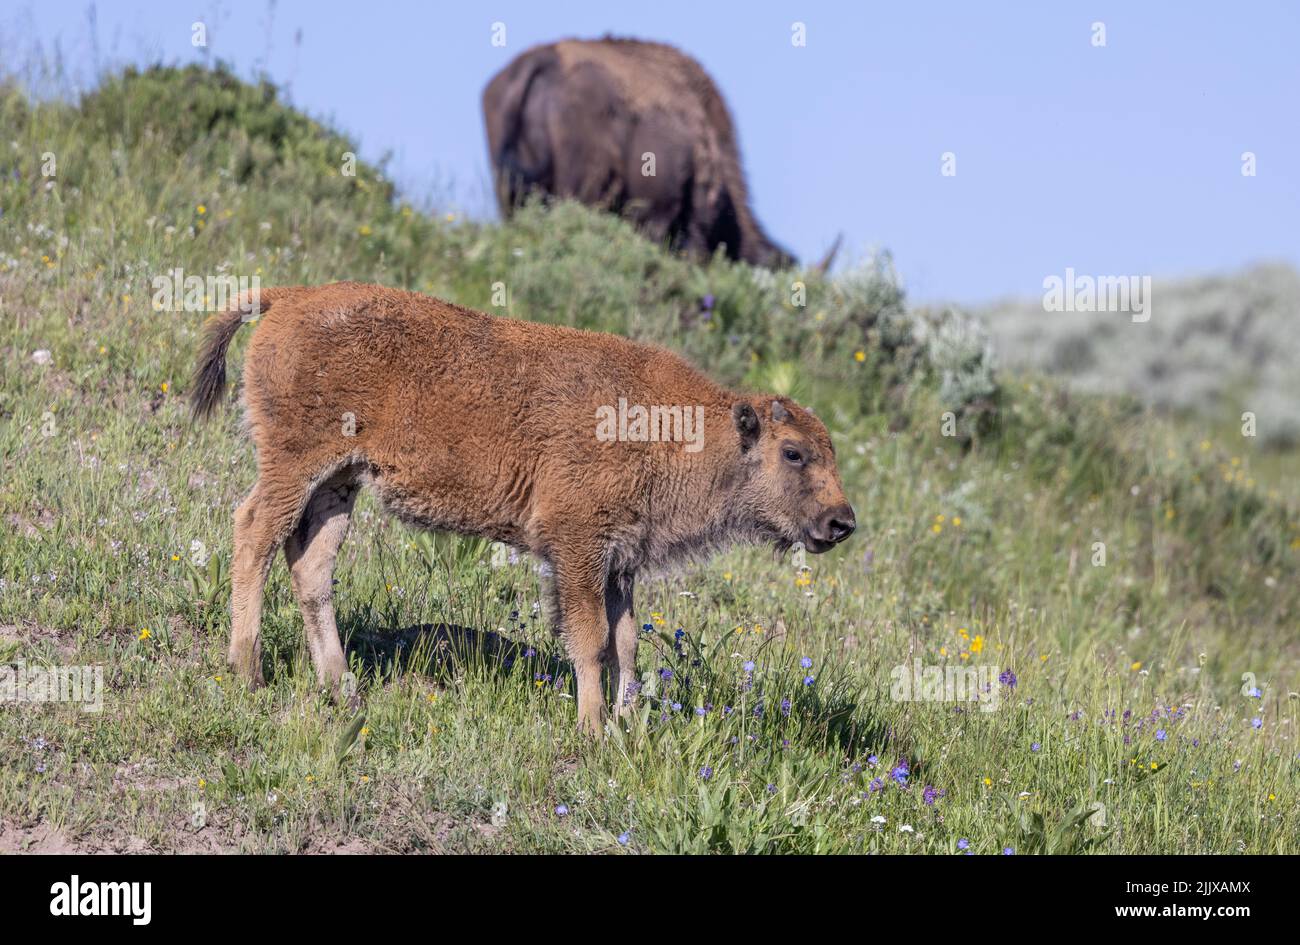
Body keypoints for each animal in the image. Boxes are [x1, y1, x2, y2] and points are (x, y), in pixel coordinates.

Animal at [192, 283, 856, 733]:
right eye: (793, 453)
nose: (841, 522)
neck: (678, 430)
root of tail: (291, 297)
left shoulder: (620, 563)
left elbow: (626, 643)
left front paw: (628, 725)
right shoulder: (577, 548)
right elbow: (591, 640)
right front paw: (593, 729)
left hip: (340, 481)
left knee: (310, 565)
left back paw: (343, 688)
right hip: (295, 464)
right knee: (254, 533)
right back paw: (248, 671)